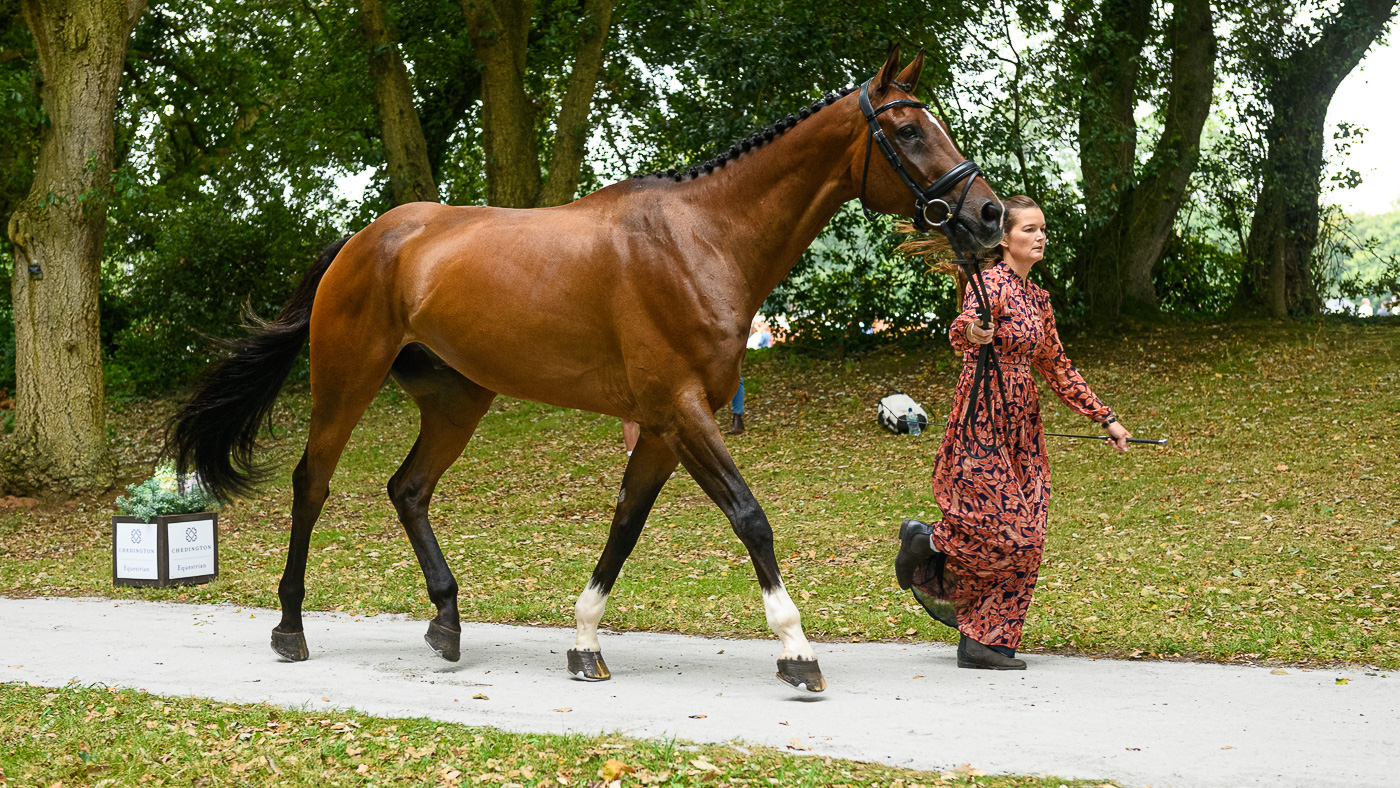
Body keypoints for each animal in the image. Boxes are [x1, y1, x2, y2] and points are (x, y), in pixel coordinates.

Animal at [169, 46, 1003, 693]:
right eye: (907, 129)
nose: (989, 216)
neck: (703, 239)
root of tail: (365, 238)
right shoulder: (682, 413)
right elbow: (750, 518)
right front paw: (796, 651)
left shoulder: (665, 426)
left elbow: (625, 528)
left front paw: (584, 642)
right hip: (347, 381)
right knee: (312, 484)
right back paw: (290, 625)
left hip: (458, 400)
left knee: (408, 488)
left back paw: (446, 621)